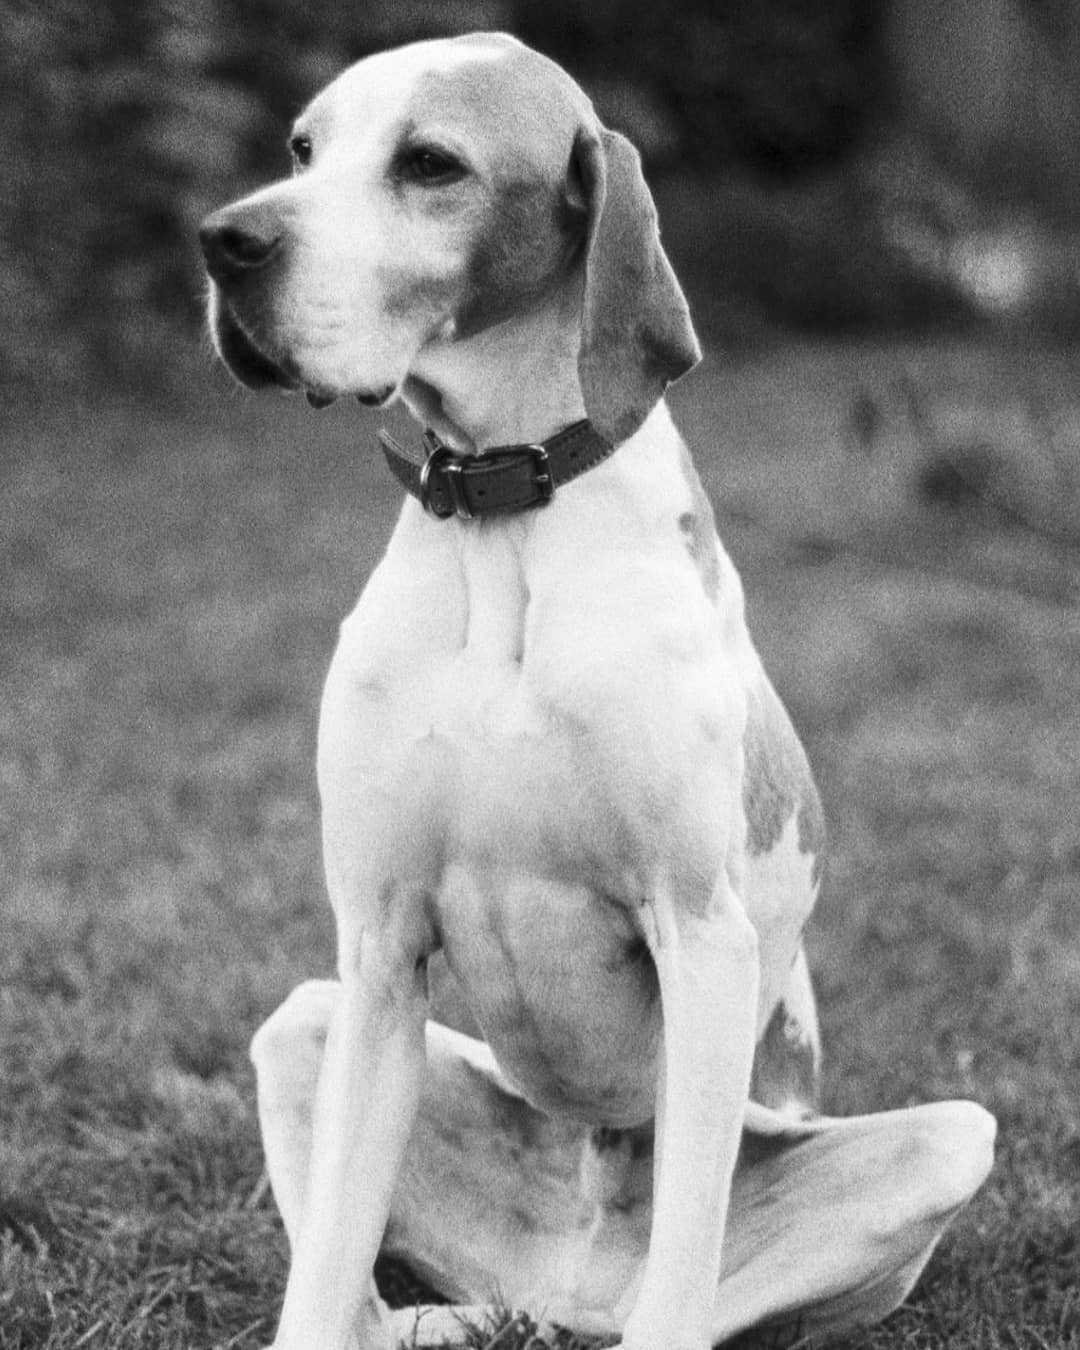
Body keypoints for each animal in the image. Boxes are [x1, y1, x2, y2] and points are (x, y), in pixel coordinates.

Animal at [202, 31, 993, 1350]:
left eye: (430, 164)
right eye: (302, 150)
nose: (223, 240)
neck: (503, 513)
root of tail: (561, 1281)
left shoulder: (703, 939)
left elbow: (686, 1270)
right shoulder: (378, 947)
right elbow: (316, 1294)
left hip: (945, 1142)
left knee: (676, 1301)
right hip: (306, 1023)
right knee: (367, 1295)